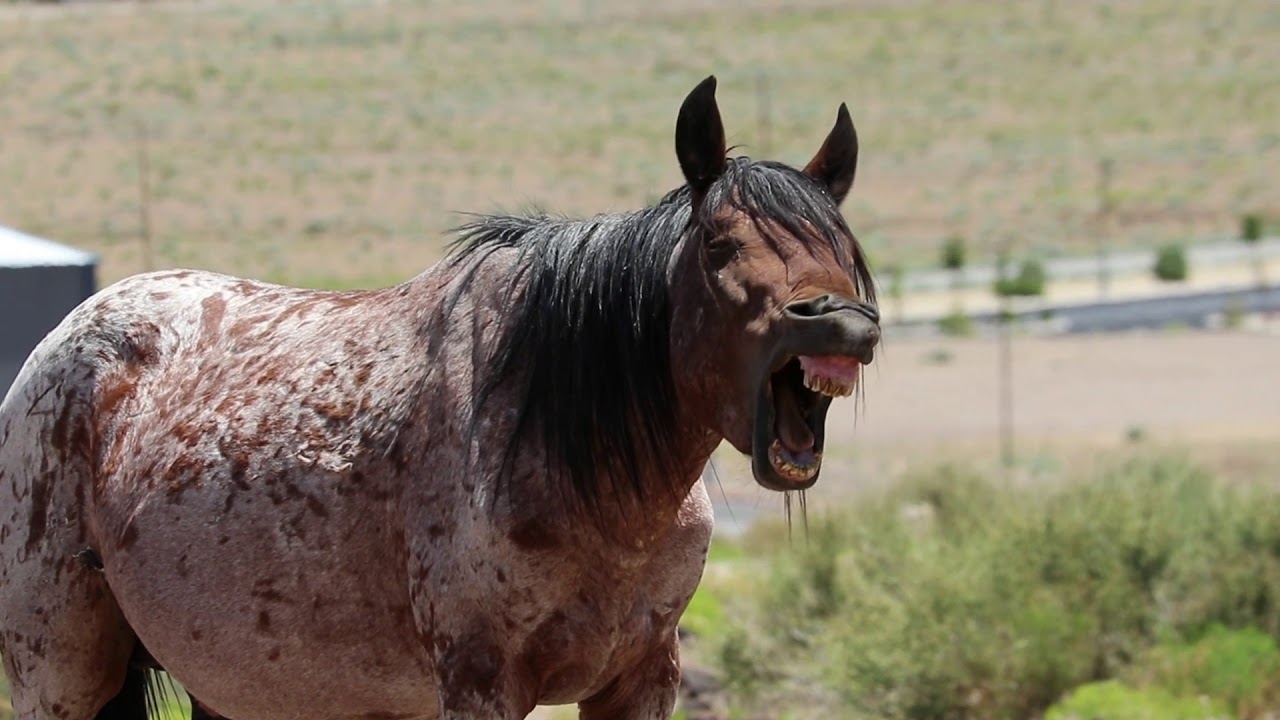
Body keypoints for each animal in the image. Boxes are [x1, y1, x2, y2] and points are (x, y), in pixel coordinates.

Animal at [0, 75, 880, 720]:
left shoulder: (640, 680)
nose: (839, 321)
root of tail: (67, 334)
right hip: (60, 675)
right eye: (720, 244)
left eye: (844, 246)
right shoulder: (480, 680)